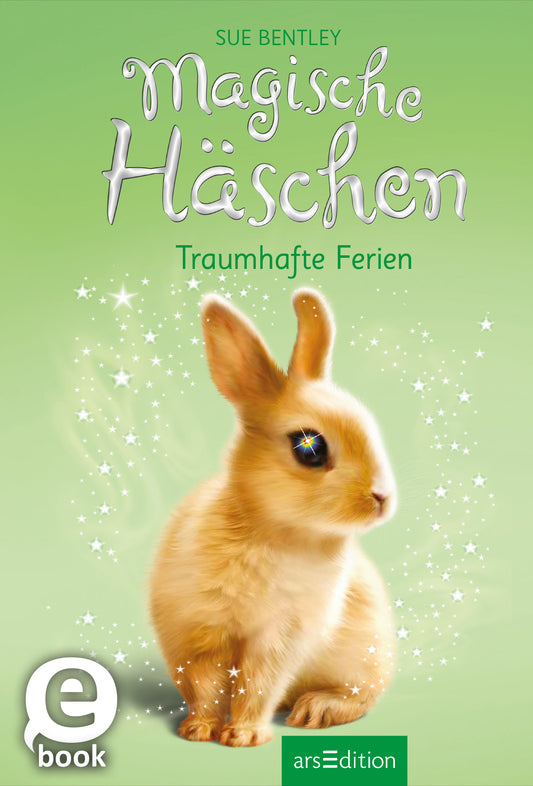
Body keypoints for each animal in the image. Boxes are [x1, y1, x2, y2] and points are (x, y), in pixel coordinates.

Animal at [149, 287, 397, 747]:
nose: (382, 498)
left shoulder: (281, 636)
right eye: (309, 448)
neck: (272, 529)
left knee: (359, 698)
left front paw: (244, 735)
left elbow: (258, 683)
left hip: (363, 661)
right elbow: (206, 684)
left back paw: (315, 709)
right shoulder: (201, 631)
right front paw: (199, 730)